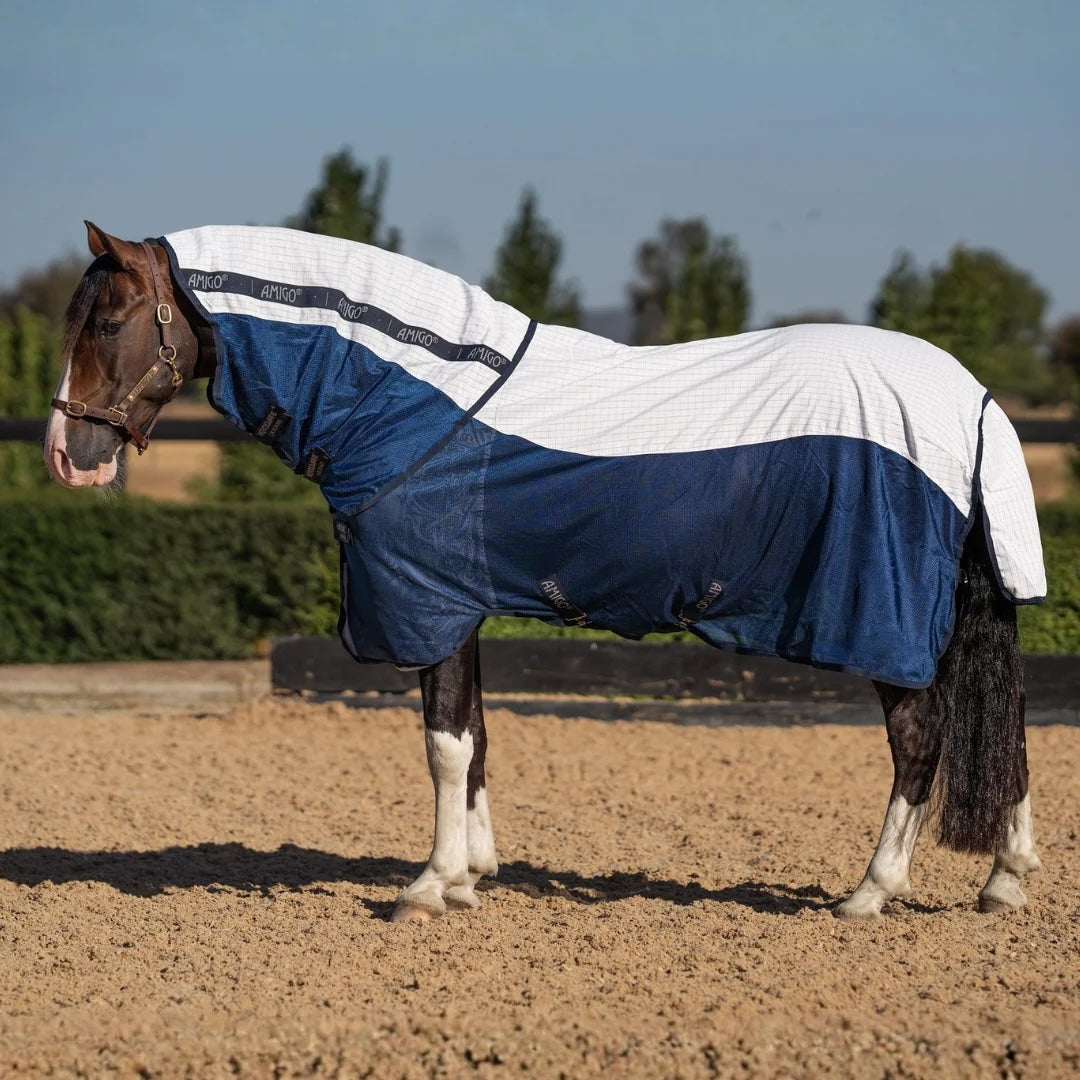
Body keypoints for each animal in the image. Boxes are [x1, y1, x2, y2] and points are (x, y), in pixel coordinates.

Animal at [44, 222, 1045, 922]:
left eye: (111, 321)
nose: (67, 456)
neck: (410, 399)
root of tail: (971, 397)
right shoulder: (462, 608)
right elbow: (478, 737)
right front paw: (472, 875)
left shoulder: (429, 605)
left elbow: (445, 744)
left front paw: (429, 885)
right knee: (1005, 726)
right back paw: (1004, 880)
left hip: (883, 623)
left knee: (921, 741)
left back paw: (871, 891)